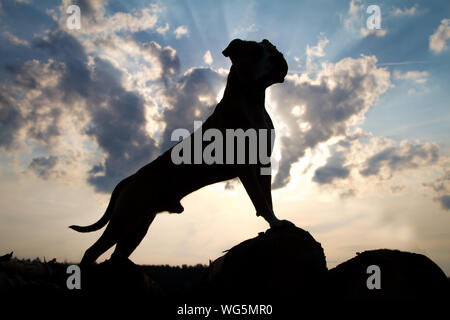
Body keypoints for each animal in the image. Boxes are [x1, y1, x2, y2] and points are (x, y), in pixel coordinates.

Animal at [71, 38, 292, 264]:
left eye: (273, 49)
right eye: (255, 52)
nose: (277, 57)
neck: (252, 101)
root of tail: (131, 177)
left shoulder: (263, 165)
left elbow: (268, 198)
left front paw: (275, 223)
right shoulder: (245, 168)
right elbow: (261, 201)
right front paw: (275, 223)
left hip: (138, 225)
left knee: (117, 253)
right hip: (124, 219)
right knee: (92, 251)